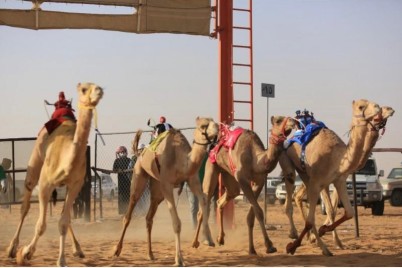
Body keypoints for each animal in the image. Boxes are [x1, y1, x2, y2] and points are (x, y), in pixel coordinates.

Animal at [12, 82, 103, 266]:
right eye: (84, 89)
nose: (99, 91)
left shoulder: (75, 185)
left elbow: (63, 221)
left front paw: (61, 260)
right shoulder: (45, 184)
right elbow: (41, 225)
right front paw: (25, 252)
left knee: (64, 215)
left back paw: (78, 249)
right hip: (36, 160)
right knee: (25, 205)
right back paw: (12, 248)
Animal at [112, 117, 220, 266]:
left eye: (213, 121)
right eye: (204, 125)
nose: (218, 128)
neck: (181, 160)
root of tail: (139, 153)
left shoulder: (192, 180)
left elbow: (203, 201)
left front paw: (207, 240)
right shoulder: (167, 185)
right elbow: (176, 223)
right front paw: (179, 259)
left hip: (157, 189)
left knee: (149, 217)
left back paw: (150, 254)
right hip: (140, 174)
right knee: (130, 211)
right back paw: (117, 250)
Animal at [192, 115, 296, 255]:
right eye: (278, 120)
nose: (293, 122)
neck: (255, 159)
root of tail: (214, 146)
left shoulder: (259, 182)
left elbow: (252, 215)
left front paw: (252, 249)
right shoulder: (243, 180)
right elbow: (259, 211)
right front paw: (269, 245)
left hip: (229, 175)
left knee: (223, 199)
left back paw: (220, 238)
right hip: (212, 165)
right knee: (204, 204)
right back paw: (199, 242)